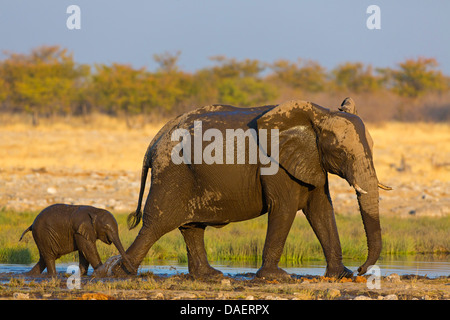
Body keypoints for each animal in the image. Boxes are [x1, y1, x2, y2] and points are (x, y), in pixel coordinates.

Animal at [112, 99, 384, 278]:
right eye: (340, 151)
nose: (361, 269)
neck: (318, 114)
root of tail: (153, 142)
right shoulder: (274, 162)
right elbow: (284, 209)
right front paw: (276, 277)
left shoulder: (312, 160)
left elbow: (321, 210)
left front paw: (342, 275)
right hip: (171, 170)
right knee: (156, 224)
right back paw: (120, 272)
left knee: (191, 227)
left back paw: (210, 276)